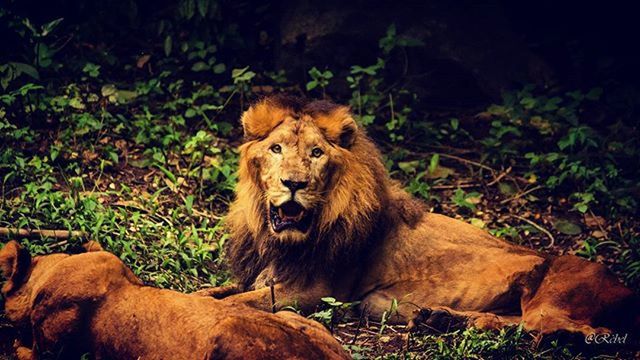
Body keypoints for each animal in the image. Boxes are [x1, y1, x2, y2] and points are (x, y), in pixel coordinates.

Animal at [202, 95, 636, 340]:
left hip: (555, 298)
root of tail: (625, 287)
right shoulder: (259, 277)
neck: (278, 240)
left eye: (316, 153)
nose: (294, 183)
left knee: (574, 329)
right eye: (276, 149)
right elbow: (214, 292)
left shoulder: (313, 292)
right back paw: (442, 319)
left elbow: (240, 303)